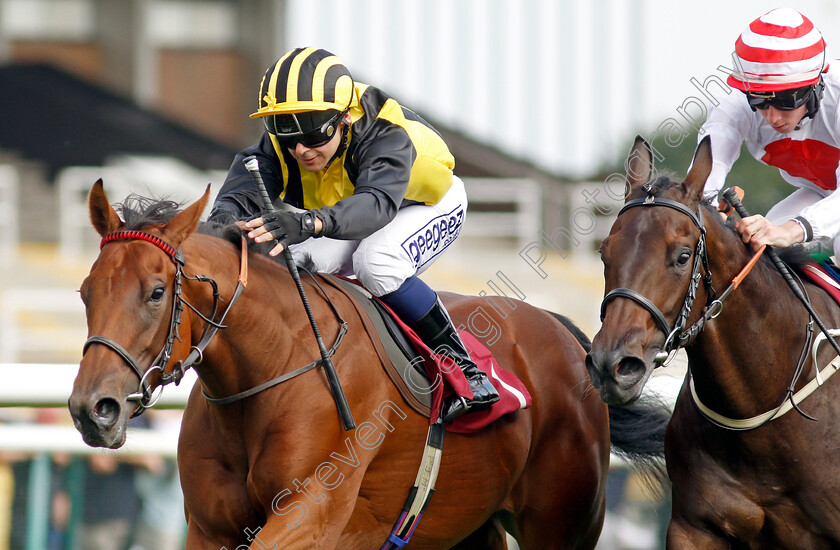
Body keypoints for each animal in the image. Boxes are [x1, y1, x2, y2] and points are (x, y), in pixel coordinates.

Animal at [69, 180, 668, 548]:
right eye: (84, 291)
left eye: (155, 293)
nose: (92, 409)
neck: (270, 368)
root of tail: (563, 330)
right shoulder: (210, 527)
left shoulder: (311, 515)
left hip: (562, 523)